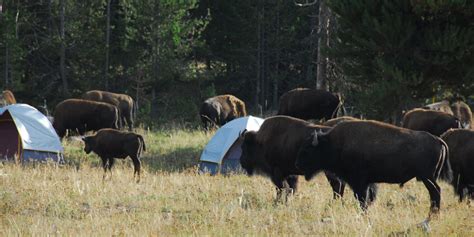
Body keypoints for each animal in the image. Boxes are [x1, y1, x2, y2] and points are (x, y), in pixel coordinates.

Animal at [294, 120, 454, 217]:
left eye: (307, 150)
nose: (298, 165)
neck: (333, 144)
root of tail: (438, 139)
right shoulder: (367, 183)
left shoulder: (359, 183)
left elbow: (362, 200)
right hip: (429, 177)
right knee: (434, 193)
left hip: (428, 177)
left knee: (436, 192)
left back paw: (434, 214)